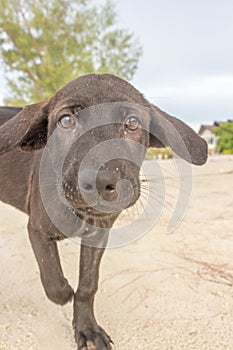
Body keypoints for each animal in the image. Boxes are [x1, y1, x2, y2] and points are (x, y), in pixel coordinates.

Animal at [0, 74, 207, 350]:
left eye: (132, 123)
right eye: (66, 121)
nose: (100, 181)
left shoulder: (98, 236)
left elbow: (88, 285)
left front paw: (87, 328)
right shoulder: (38, 230)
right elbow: (54, 282)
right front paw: (66, 293)